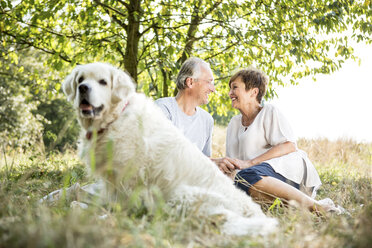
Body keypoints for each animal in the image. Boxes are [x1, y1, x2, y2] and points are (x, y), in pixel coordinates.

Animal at [62, 62, 276, 236]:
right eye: (80, 79)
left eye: (103, 82)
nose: (83, 88)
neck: (115, 118)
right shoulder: (112, 177)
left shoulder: (128, 176)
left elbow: (122, 204)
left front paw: (109, 219)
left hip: (181, 195)